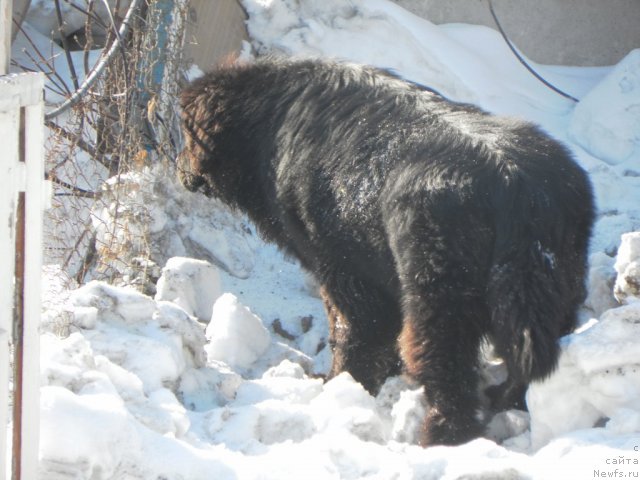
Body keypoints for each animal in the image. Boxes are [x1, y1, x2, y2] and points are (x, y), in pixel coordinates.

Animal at [176, 57, 596, 446]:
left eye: (184, 131)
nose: (178, 167)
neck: (270, 120)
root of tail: (515, 185)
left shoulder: (343, 268)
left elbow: (354, 331)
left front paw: (339, 384)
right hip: (556, 286)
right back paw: (509, 403)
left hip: (440, 299)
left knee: (449, 374)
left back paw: (441, 438)